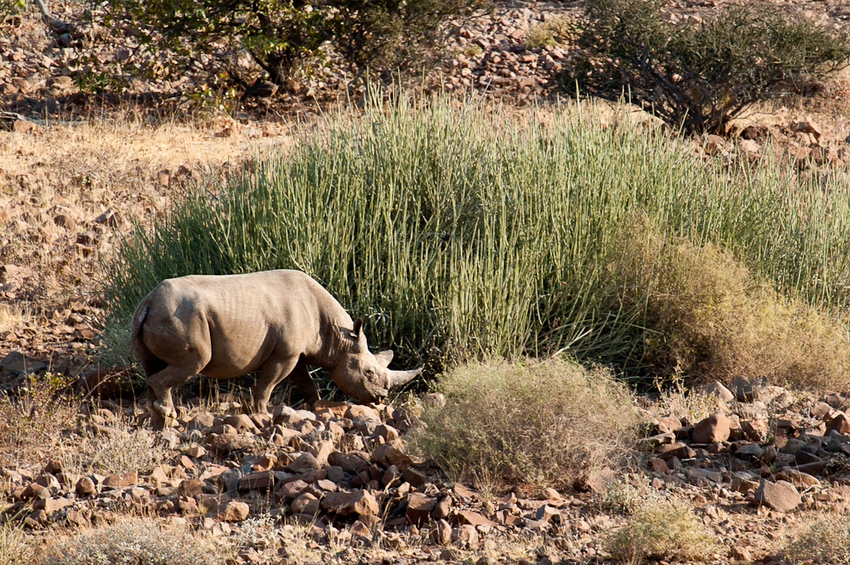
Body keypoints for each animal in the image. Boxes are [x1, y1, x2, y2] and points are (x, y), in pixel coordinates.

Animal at [130, 269, 422, 429]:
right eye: (368, 373)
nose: (380, 398)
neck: (338, 337)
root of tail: (148, 300)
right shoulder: (285, 355)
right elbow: (267, 386)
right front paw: (262, 415)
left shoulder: (296, 354)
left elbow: (306, 384)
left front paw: (315, 407)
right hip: (182, 318)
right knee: (192, 363)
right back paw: (169, 417)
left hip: (154, 317)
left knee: (151, 369)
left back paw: (158, 425)